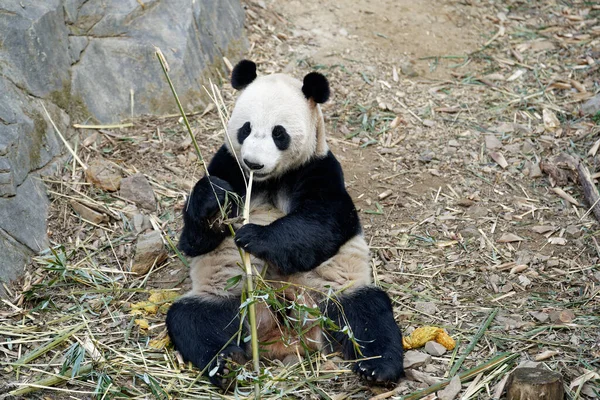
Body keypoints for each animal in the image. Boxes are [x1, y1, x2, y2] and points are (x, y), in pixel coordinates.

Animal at [166, 60, 406, 390]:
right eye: (246, 128)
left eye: (279, 133)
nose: (254, 163)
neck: (268, 181)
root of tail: (284, 339)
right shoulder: (228, 163)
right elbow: (194, 240)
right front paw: (213, 198)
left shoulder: (319, 168)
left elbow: (324, 222)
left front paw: (252, 236)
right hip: (227, 299)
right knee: (193, 321)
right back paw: (228, 364)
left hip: (334, 295)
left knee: (368, 316)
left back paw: (378, 367)